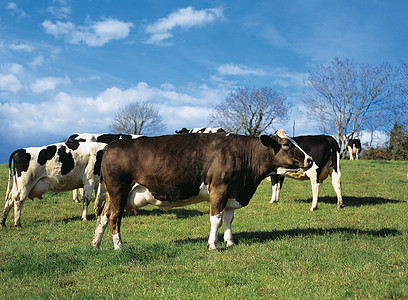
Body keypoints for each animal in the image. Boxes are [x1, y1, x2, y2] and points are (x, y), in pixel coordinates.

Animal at [90, 130, 312, 250]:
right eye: (286, 144)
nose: (310, 160)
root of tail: (110, 146)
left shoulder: (232, 193)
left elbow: (229, 219)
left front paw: (229, 242)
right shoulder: (219, 189)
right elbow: (216, 219)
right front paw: (213, 244)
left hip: (113, 193)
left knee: (102, 216)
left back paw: (95, 245)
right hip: (118, 190)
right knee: (114, 217)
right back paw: (118, 246)